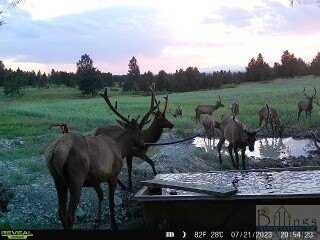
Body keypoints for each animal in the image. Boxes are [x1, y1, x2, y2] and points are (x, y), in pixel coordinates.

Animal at [45, 87, 157, 229]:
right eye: (138, 132)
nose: (143, 144)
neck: (120, 148)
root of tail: (55, 151)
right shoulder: (113, 174)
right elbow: (111, 201)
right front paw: (113, 224)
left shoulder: (95, 179)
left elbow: (101, 196)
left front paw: (97, 221)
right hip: (76, 177)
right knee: (70, 215)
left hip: (58, 180)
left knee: (61, 212)